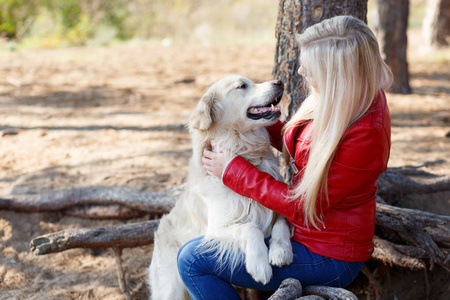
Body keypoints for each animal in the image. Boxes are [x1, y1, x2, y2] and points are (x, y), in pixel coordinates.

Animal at [149, 75, 294, 300]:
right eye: (242, 86)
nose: (279, 83)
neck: (245, 151)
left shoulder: (275, 206)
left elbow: (282, 222)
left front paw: (281, 251)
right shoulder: (215, 230)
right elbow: (250, 227)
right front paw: (259, 265)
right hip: (171, 287)